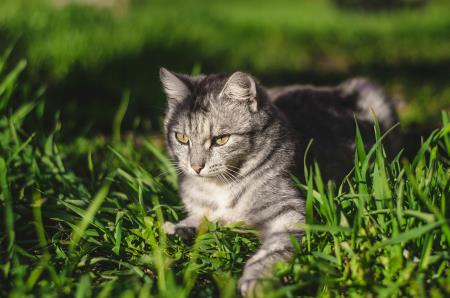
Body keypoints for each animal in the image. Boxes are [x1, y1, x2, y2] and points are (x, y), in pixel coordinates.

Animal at [158, 68, 398, 296]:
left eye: (221, 140)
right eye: (182, 138)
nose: (196, 167)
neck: (220, 187)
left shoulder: (288, 215)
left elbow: (272, 252)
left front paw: (256, 280)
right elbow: (198, 218)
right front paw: (177, 228)